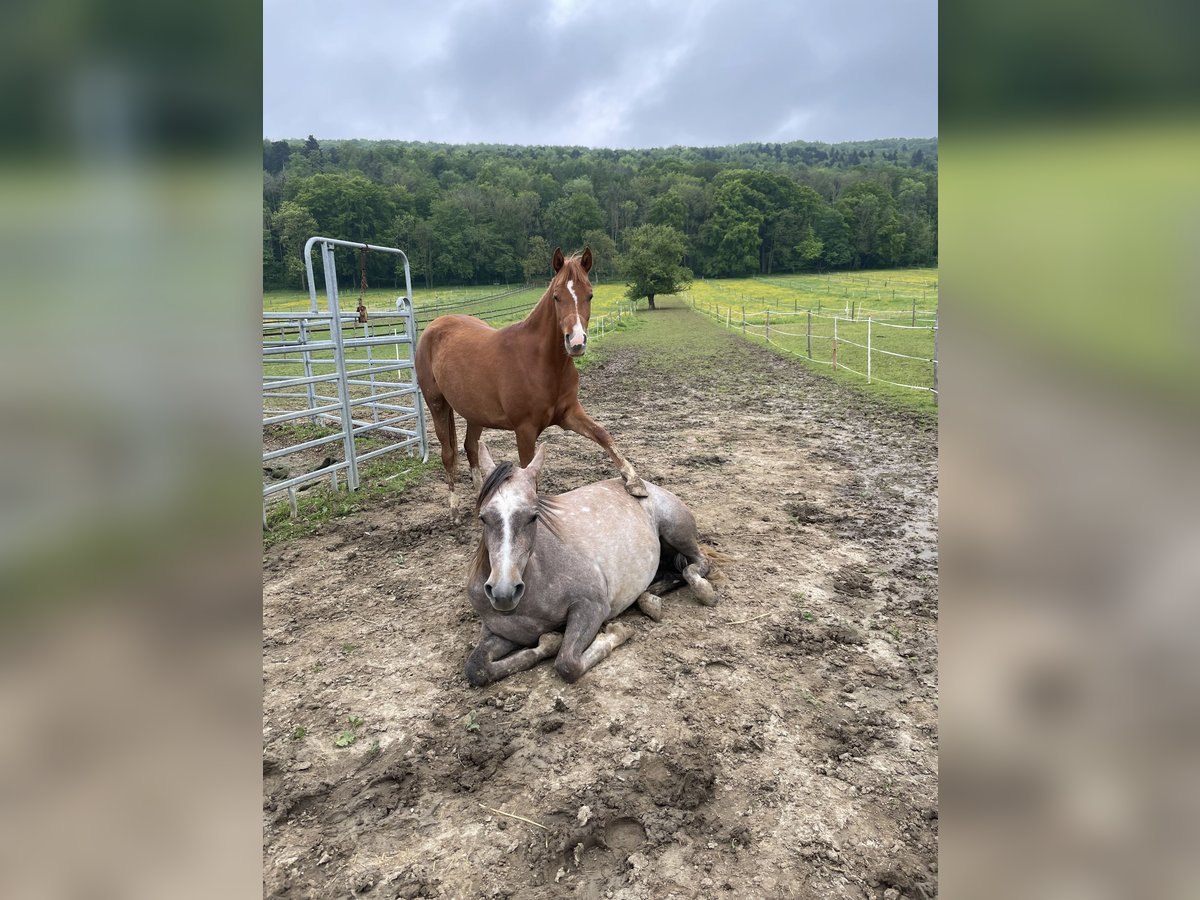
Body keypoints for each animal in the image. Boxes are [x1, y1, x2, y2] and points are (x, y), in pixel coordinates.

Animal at [417, 250, 648, 525]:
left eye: (590, 295)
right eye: (557, 297)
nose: (576, 342)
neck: (541, 362)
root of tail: (434, 325)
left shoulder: (569, 414)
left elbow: (603, 435)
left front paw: (635, 481)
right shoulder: (525, 430)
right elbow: (529, 473)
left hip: (475, 414)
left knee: (470, 448)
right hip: (437, 405)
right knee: (448, 454)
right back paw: (453, 510)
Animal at [463, 441, 715, 686]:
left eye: (533, 516)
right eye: (483, 517)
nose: (503, 593)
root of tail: (647, 486)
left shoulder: (591, 607)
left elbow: (567, 664)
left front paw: (616, 632)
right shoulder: (502, 633)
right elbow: (477, 667)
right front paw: (550, 641)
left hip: (677, 533)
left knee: (697, 565)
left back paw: (704, 591)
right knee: (674, 573)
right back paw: (648, 599)